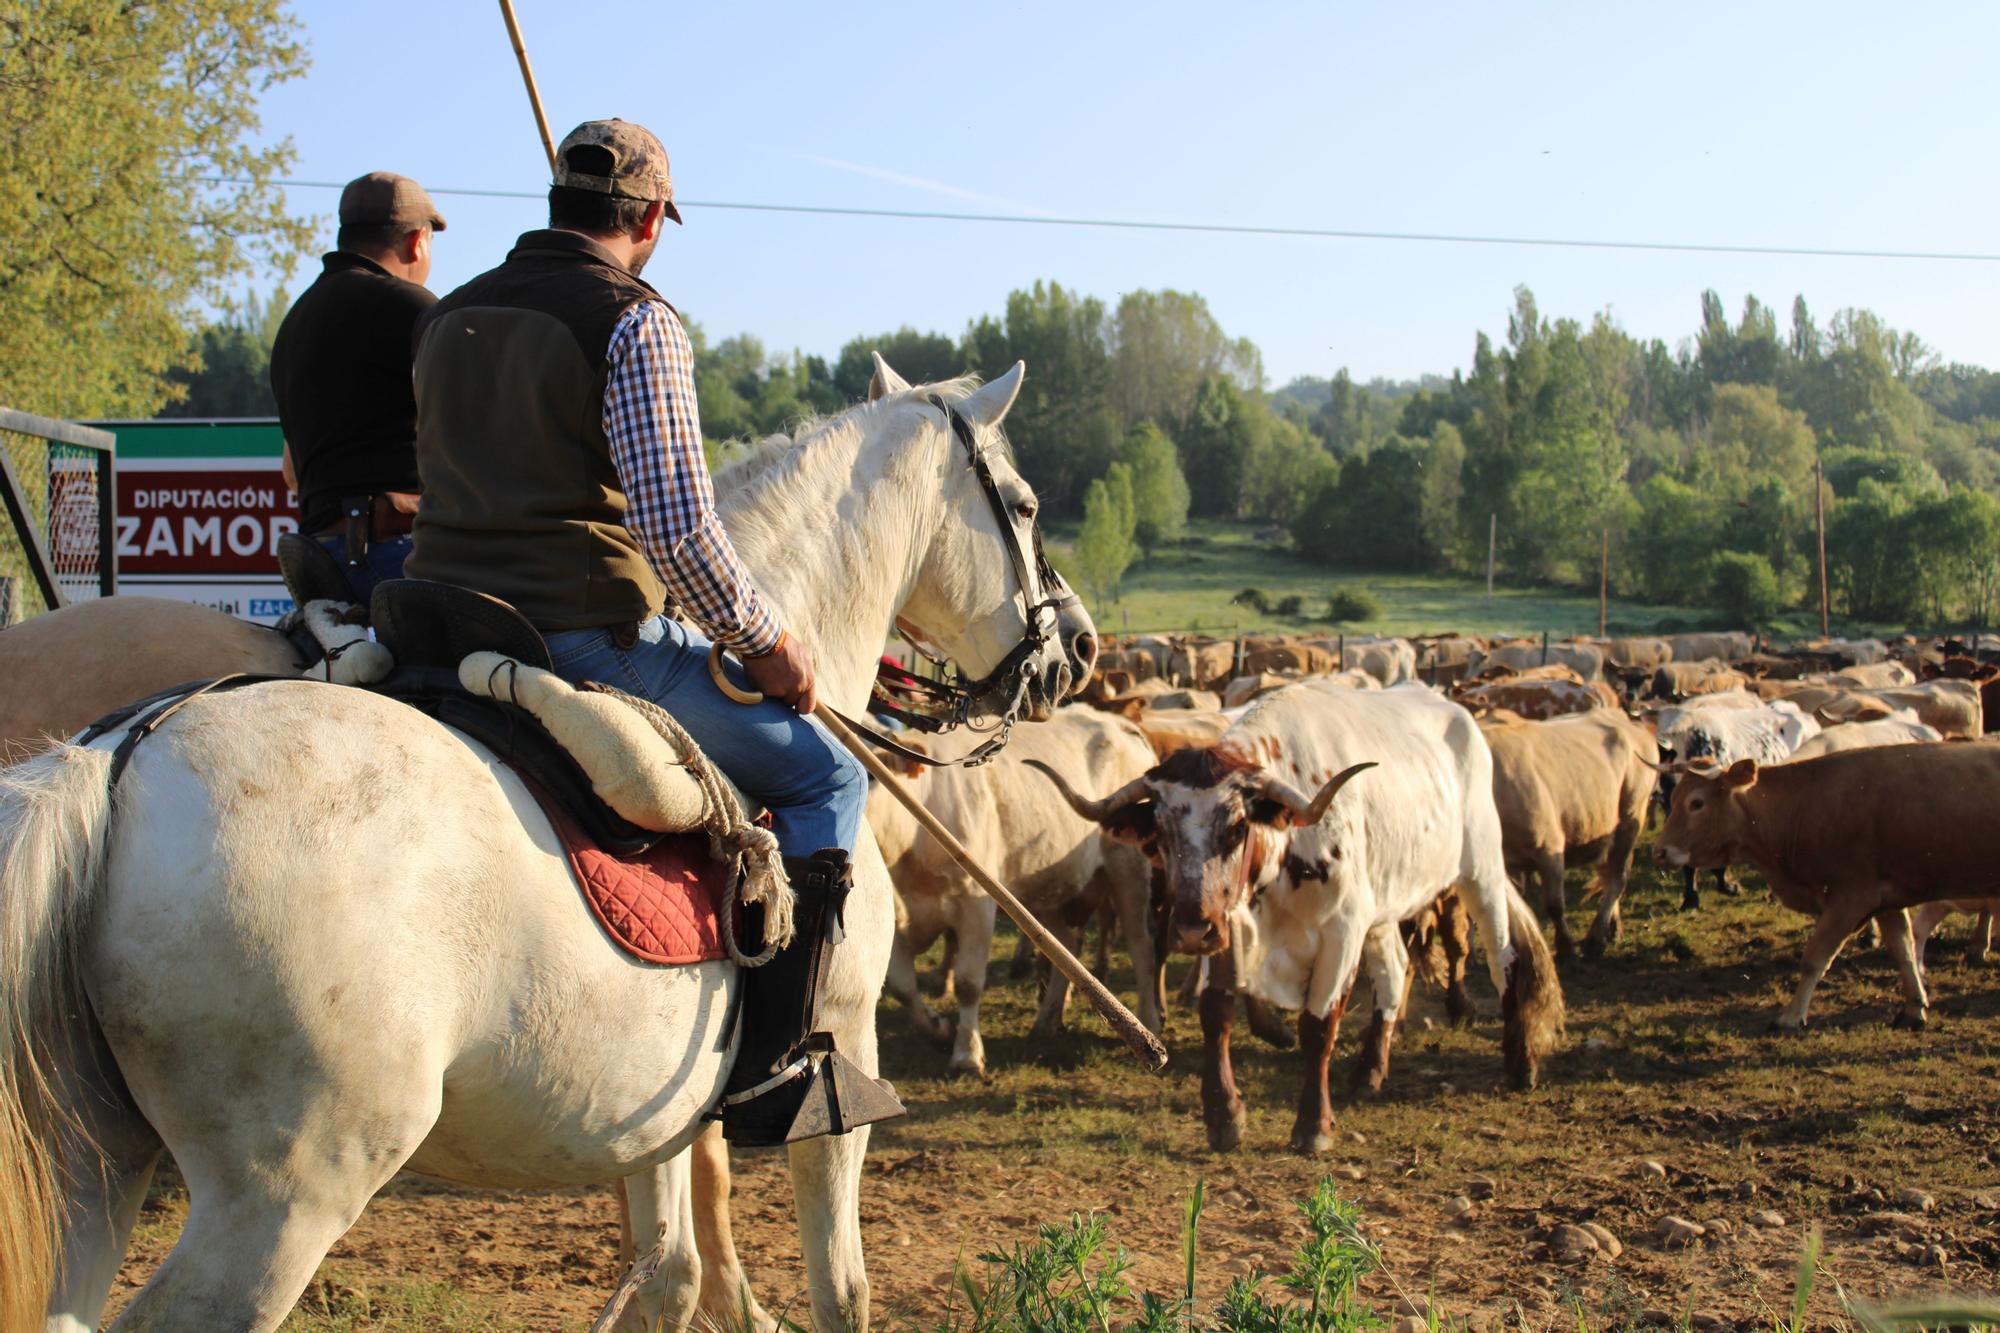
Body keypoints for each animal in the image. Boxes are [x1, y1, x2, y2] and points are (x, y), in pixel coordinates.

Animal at [0, 358, 1096, 1320]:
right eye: (1023, 503)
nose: (1077, 646)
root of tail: (123, 758)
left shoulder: (655, 1112)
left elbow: (669, 1275)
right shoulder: (841, 1063)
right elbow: (840, 1289)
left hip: (89, 1170)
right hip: (280, 1197)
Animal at [1032, 680, 1560, 1144]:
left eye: (1237, 827)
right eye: (1158, 830)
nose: (1189, 931)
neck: (1282, 861)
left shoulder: (1341, 932)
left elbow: (1317, 1026)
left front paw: (1313, 1126)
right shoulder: (1231, 925)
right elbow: (1216, 1010)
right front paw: (1224, 1116)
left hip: (1480, 871)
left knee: (1505, 958)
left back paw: (1521, 1063)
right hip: (1382, 908)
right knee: (1393, 973)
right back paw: (1369, 1072)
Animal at [1648, 740, 2000, 1020]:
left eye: (1697, 803)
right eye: (1673, 799)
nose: (1660, 852)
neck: (1802, 805)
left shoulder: (1850, 899)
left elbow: (1815, 957)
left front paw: (1791, 1016)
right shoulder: (1887, 899)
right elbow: (1904, 948)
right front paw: (1915, 1007)